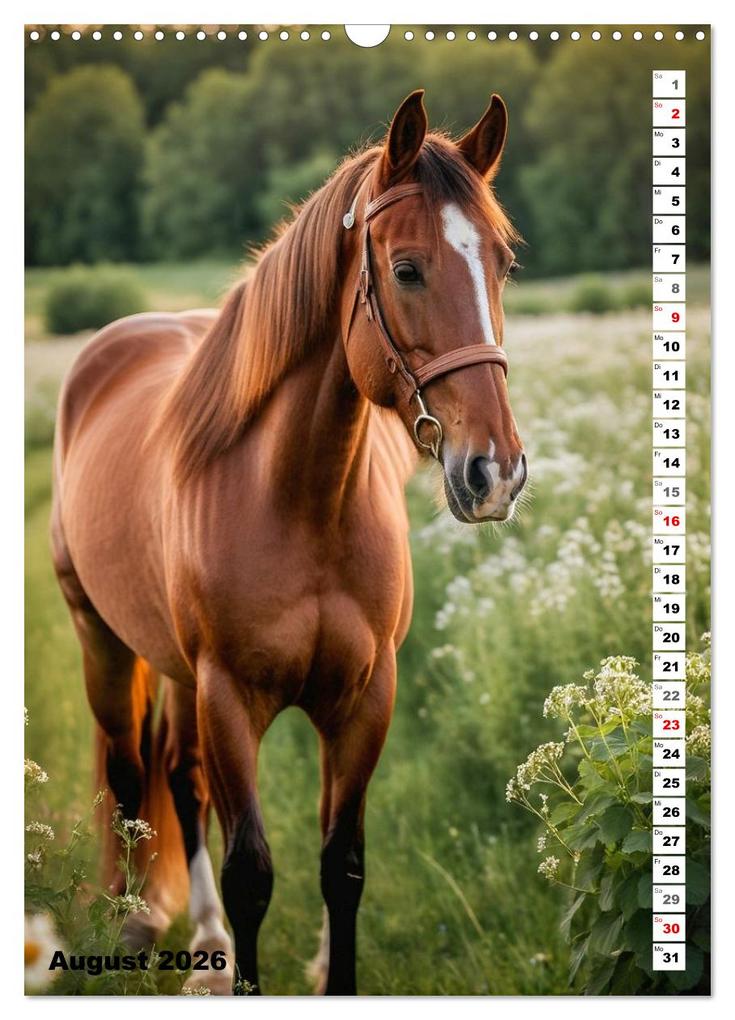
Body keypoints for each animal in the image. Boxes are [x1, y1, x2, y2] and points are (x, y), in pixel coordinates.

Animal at [50, 89, 527, 995]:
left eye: (502, 265)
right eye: (406, 269)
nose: (495, 472)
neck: (300, 503)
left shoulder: (363, 700)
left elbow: (342, 866)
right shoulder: (230, 697)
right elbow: (252, 874)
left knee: (179, 778)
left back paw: (204, 944)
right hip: (105, 643)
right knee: (132, 779)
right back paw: (135, 926)